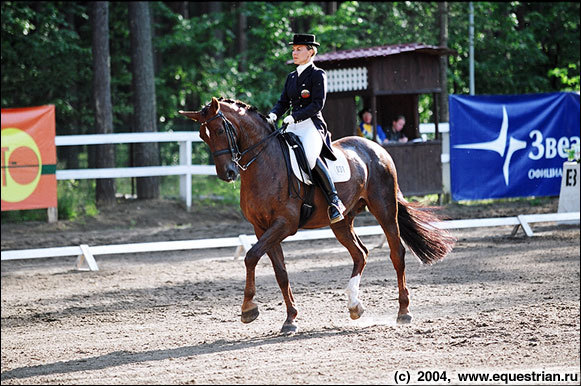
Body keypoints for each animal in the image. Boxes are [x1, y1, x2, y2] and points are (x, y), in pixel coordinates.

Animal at [179, 97, 456, 334]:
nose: (227, 173)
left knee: (396, 253)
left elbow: (251, 256)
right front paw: (290, 319)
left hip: (385, 209)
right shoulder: (263, 228)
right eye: (203, 137)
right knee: (360, 253)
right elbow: (280, 272)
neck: (264, 163)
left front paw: (249, 309)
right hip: (342, 221)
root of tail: (376, 148)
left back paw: (403, 312)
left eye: (219, 131)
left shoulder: (284, 224)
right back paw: (355, 306)